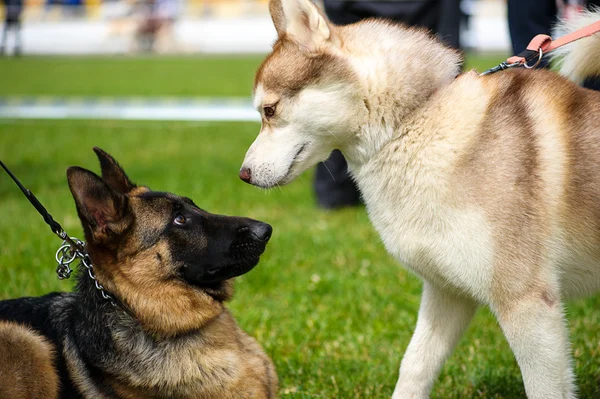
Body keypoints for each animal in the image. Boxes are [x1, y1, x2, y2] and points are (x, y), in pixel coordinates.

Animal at [241, 1, 600, 398]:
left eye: (269, 110)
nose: (244, 174)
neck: (415, 120)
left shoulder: (527, 302)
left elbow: (543, 387)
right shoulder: (447, 292)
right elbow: (413, 367)